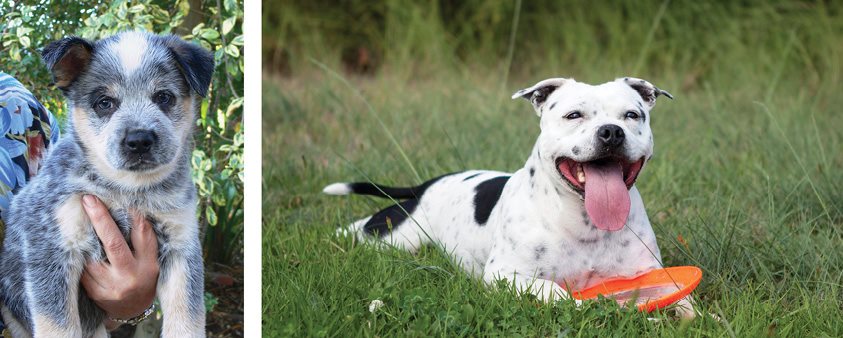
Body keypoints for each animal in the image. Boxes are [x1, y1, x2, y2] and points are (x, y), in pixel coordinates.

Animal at [0, 30, 211, 336]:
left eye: (164, 97)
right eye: (104, 102)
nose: (139, 140)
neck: (126, 191)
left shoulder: (181, 244)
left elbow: (188, 320)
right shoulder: (52, 248)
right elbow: (58, 326)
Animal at [324, 76, 700, 316]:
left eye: (632, 115)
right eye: (573, 115)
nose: (611, 132)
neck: (585, 222)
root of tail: (428, 184)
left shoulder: (649, 270)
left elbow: (685, 300)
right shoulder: (505, 274)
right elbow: (553, 288)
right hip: (394, 236)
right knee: (361, 230)